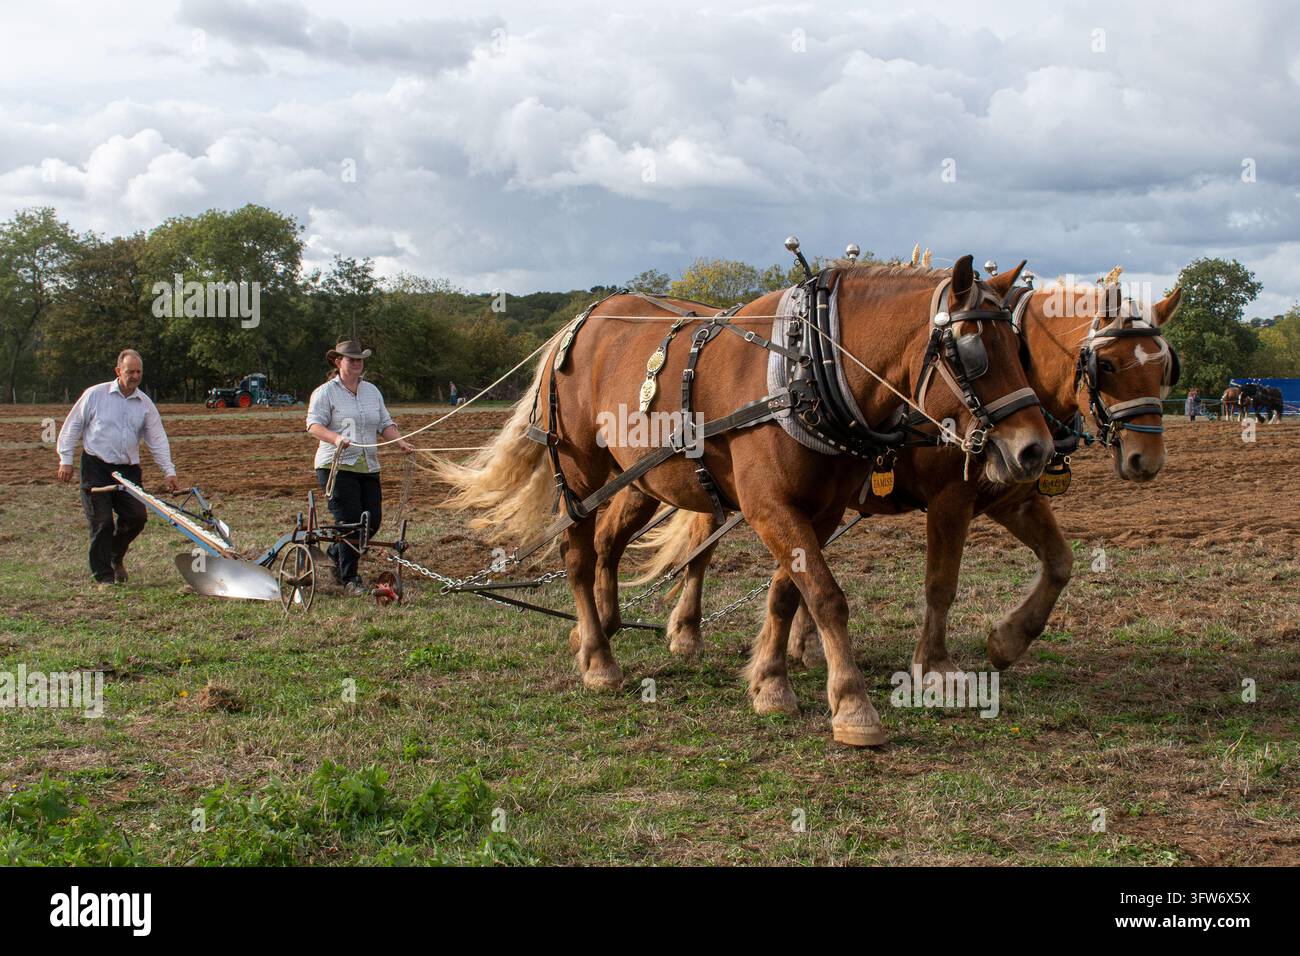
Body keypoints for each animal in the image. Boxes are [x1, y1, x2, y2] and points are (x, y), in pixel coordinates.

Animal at [435, 254, 1054, 746]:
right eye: (972, 352)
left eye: (1019, 347)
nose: (1034, 449)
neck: (811, 367)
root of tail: (581, 321)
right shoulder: (771, 505)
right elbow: (826, 596)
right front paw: (853, 706)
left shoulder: (818, 510)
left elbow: (787, 593)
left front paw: (771, 683)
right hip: (581, 472)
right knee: (579, 557)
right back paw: (599, 661)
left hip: (640, 479)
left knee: (608, 544)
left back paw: (600, 633)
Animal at [622, 279, 1182, 690]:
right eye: (1106, 364)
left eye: (1165, 367)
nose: (1146, 459)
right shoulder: (951, 499)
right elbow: (940, 582)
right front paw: (933, 664)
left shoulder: (1012, 497)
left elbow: (1060, 563)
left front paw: (1007, 641)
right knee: (696, 549)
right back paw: (685, 632)